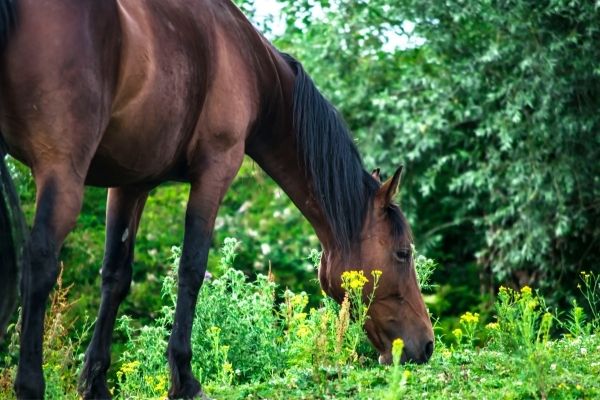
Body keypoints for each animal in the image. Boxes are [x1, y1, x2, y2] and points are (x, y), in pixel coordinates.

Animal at [0, 0, 432, 396]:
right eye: (402, 253)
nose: (426, 345)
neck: (252, 66)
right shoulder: (215, 170)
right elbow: (191, 270)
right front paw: (185, 379)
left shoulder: (129, 184)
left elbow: (116, 276)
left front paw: (95, 383)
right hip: (62, 171)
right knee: (39, 263)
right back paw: (30, 384)